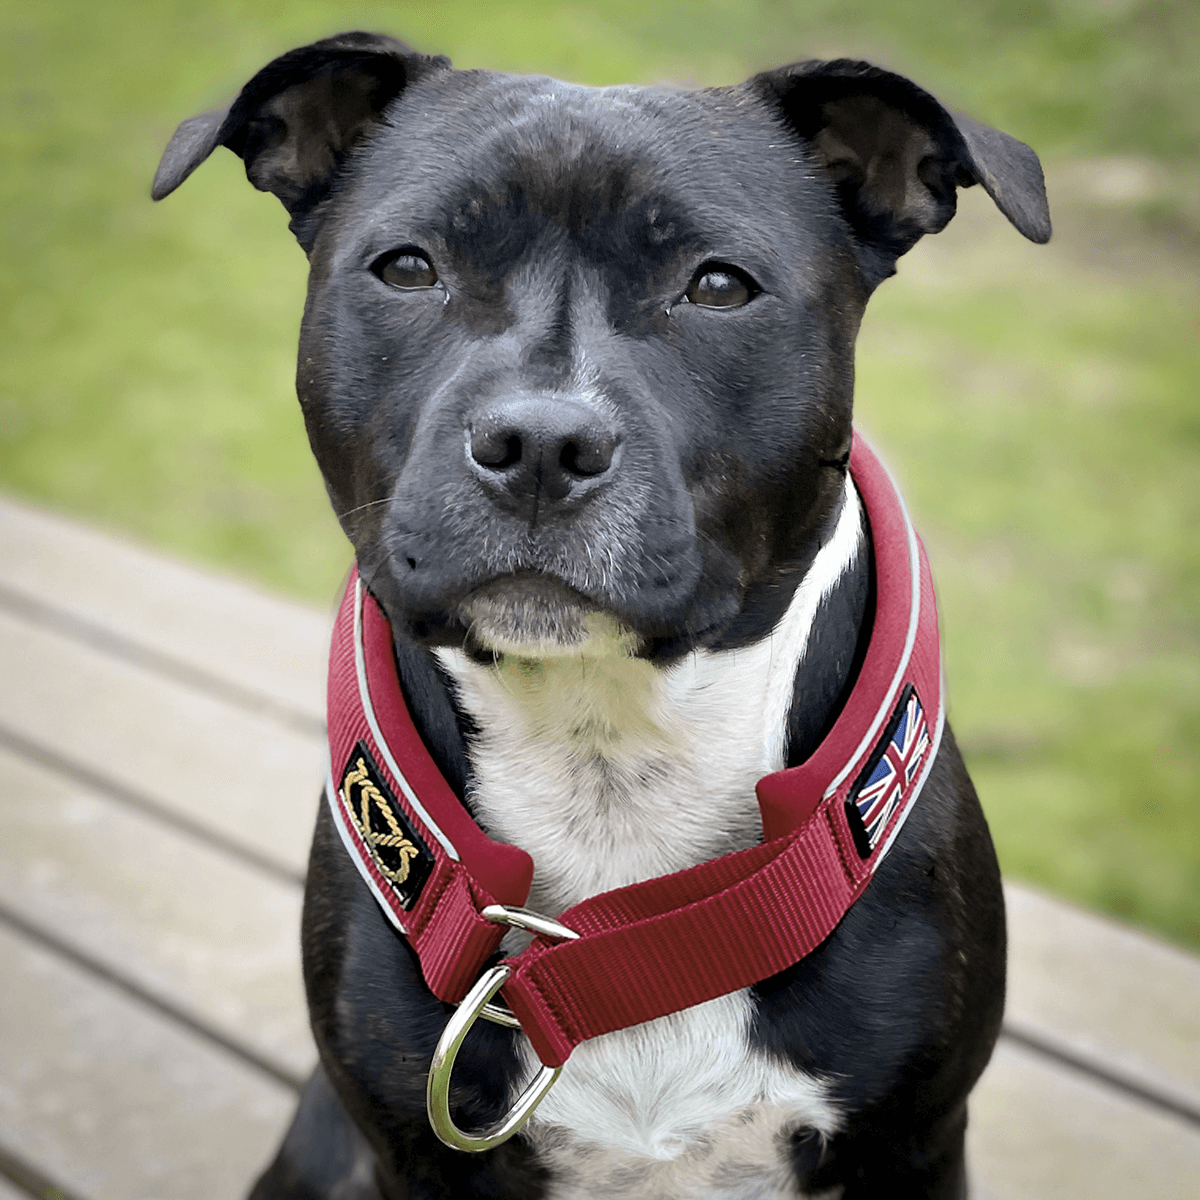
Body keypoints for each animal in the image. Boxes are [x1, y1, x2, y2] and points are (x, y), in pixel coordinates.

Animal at [154, 30, 1046, 1200]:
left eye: (718, 286)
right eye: (408, 267)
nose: (540, 443)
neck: (607, 750)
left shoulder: (917, 1145)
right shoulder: (411, 1157)